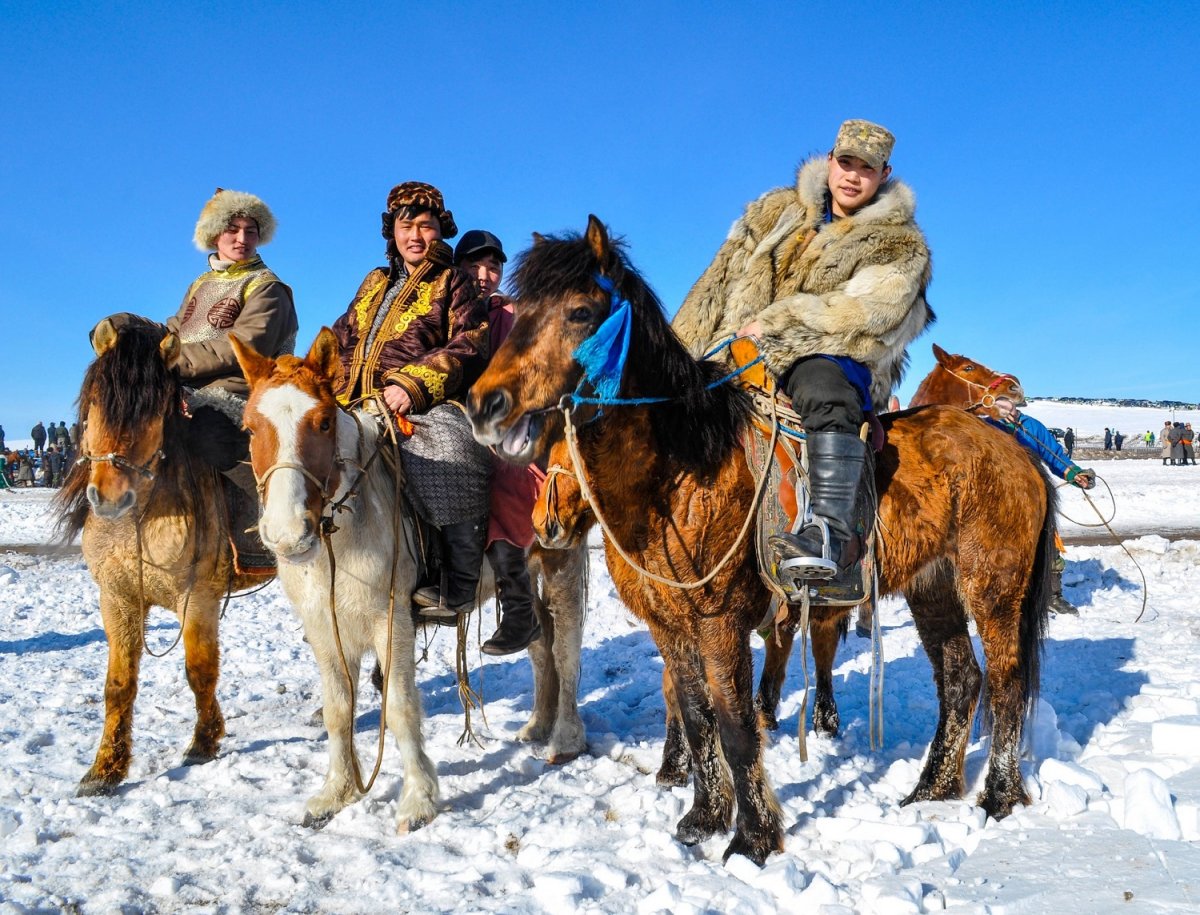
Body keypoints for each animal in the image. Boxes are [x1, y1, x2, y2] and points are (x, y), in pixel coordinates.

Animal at [57, 317, 267, 797]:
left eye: (153, 409)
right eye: (95, 401)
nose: (109, 498)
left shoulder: (199, 597)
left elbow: (199, 669)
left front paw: (204, 742)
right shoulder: (117, 599)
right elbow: (119, 684)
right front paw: (105, 770)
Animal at [468, 216, 1051, 864]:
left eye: (577, 311)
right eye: (517, 312)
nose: (485, 403)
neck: (682, 471)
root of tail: (1013, 445)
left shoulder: (720, 620)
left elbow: (735, 724)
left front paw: (753, 838)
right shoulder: (670, 625)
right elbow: (695, 714)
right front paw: (702, 817)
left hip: (993, 589)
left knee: (1006, 682)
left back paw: (998, 795)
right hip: (935, 590)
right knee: (961, 680)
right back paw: (933, 788)